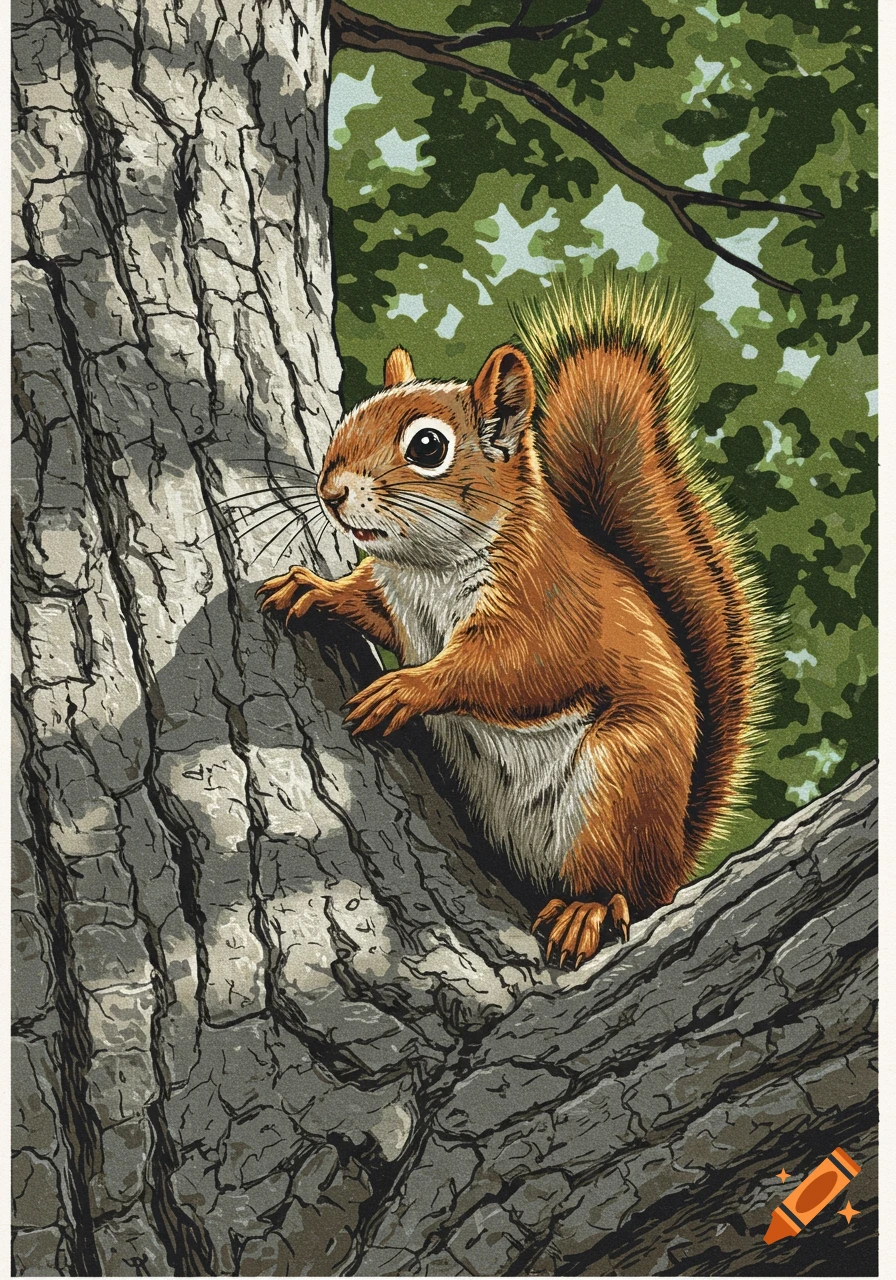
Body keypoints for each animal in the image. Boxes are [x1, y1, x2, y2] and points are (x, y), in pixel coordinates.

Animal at [258, 272, 772, 969]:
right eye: (349, 418)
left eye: (427, 447)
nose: (331, 493)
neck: (430, 568)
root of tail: (670, 867)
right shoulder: (395, 598)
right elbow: (368, 605)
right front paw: (313, 589)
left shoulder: (549, 608)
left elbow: (514, 670)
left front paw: (408, 688)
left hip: (621, 777)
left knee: (615, 884)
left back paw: (586, 909)